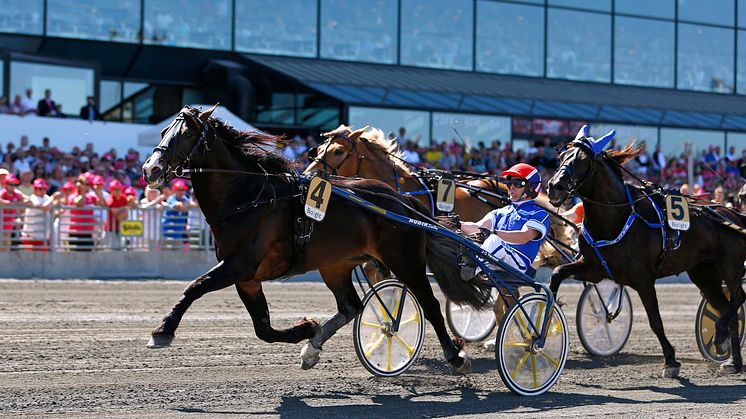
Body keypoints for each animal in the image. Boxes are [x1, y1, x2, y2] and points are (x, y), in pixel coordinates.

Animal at [141, 106, 488, 376]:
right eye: (164, 131)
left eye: (186, 134)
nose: (150, 169)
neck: (249, 198)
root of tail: (403, 202)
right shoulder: (247, 278)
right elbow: (263, 329)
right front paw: (308, 329)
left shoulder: (240, 266)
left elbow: (195, 286)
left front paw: (162, 332)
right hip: (336, 265)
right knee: (351, 306)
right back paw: (313, 346)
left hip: (404, 259)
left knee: (429, 304)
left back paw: (456, 357)